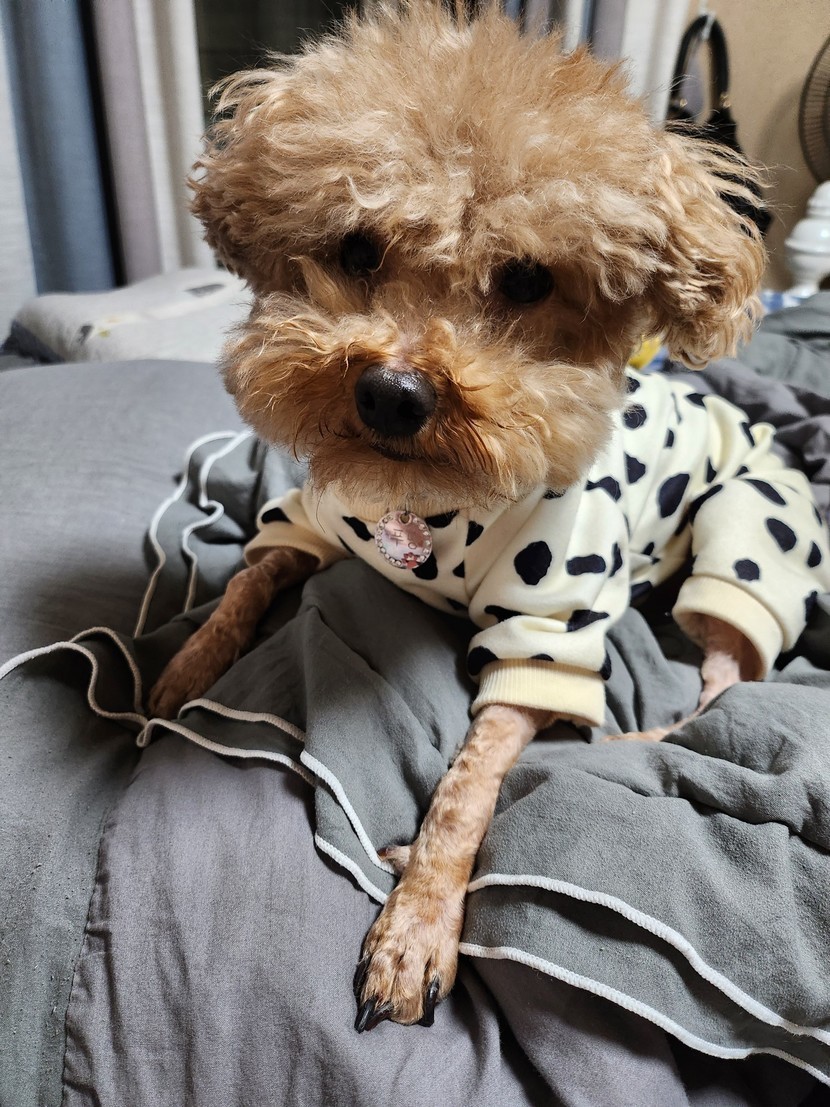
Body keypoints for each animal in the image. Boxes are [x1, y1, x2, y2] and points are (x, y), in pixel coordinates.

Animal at [148, 1, 830, 1032]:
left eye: (527, 281)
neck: (427, 503)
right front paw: (176, 676)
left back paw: (615, 740)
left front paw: (414, 930)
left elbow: (467, 792)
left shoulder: (546, 629)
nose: (391, 394)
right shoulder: (307, 517)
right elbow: (243, 585)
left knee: (717, 691)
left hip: (737, 542)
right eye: (356, 248)